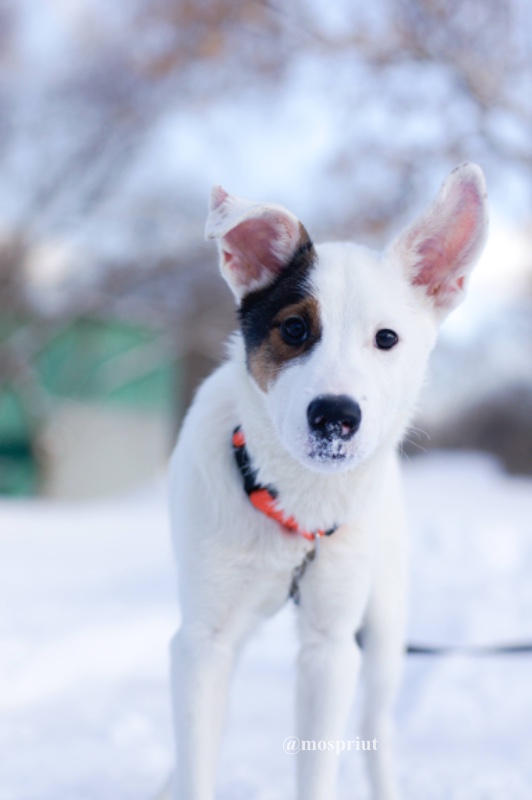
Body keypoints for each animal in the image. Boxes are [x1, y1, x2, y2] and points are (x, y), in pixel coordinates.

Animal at [168, 164, 488, 800]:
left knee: (377, 728)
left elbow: (318, 768)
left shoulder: (331, 648)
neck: (293, 499)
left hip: (384, 629)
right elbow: (196, 762)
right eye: (294, 328)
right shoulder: (202, 638)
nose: (335, 416)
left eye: (386, 338)